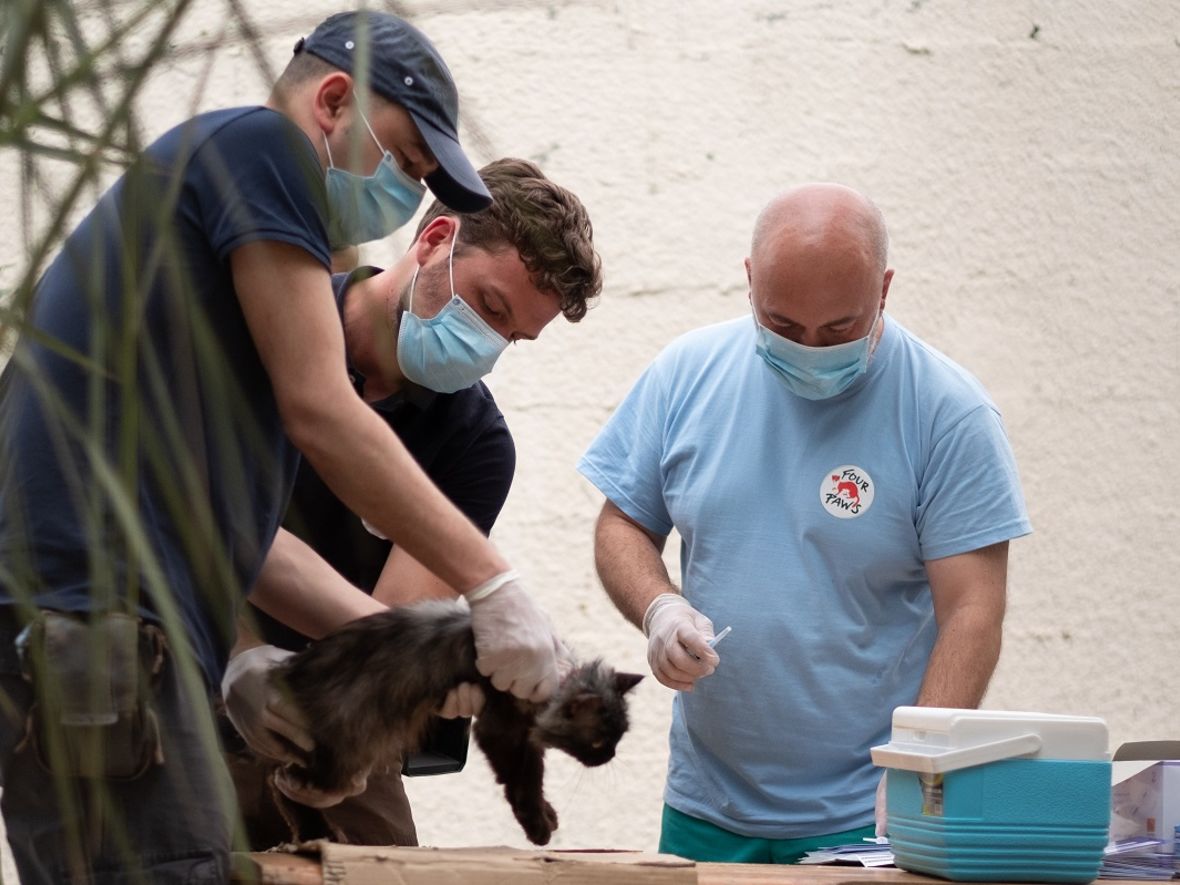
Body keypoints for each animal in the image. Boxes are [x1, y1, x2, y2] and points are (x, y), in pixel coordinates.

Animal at [270, 599, 641, 849]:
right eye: (597, 743)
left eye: (619, 739)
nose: (608, 757)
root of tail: (288, 674)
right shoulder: (501, 731)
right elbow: (521, 783)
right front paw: (538, 827)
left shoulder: (526, 739)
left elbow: (534, 780)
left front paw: (546, 814)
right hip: (342, 759)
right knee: (282, 783)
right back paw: (319, 835)